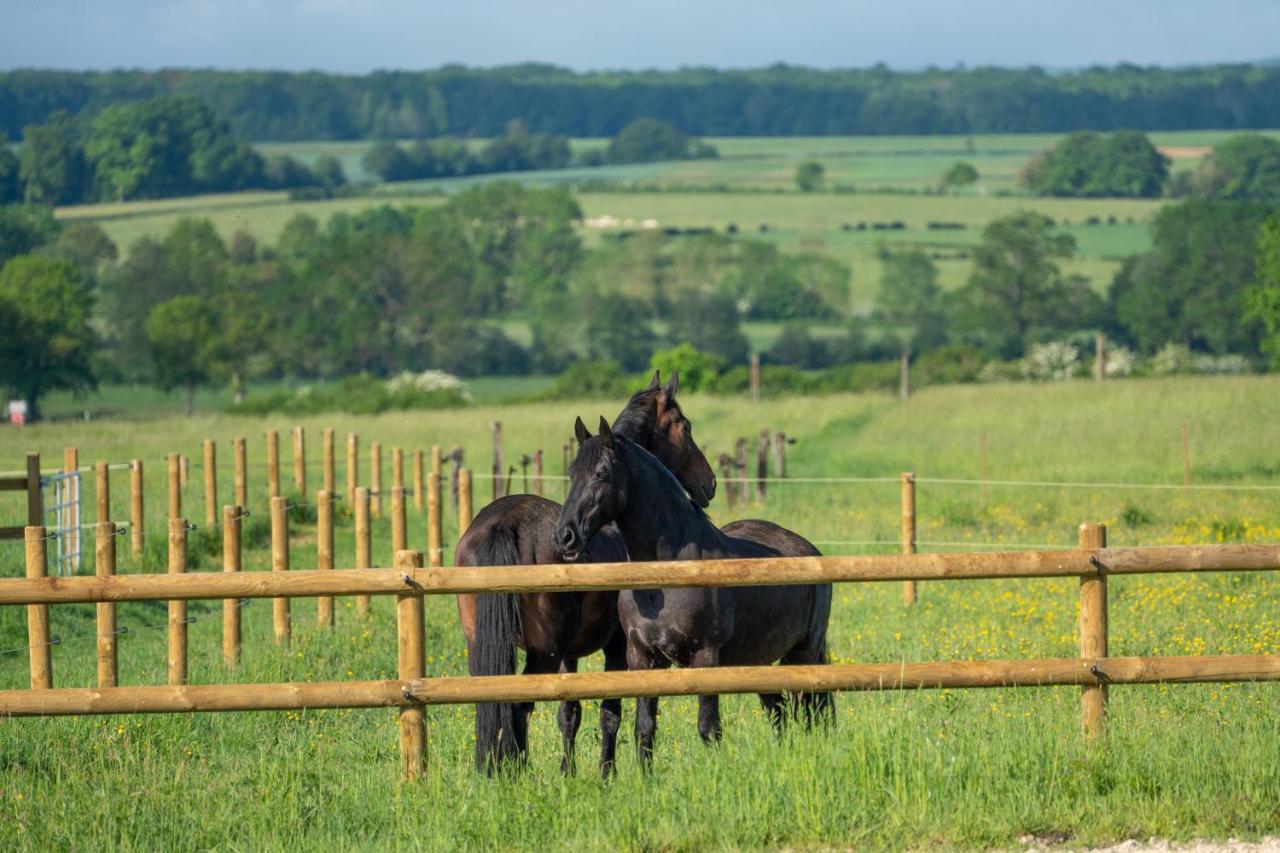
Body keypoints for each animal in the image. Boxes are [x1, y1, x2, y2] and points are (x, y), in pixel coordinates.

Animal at [455, 368, 716, 773]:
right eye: (685, 426)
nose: (709, 483)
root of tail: (505, 522)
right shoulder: (618, 647)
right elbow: (610, 712)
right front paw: (606, 772)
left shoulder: (569, 654)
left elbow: (569, 712)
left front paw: (569, 772)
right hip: (540, 653)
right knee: (518, 708)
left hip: (480, 645)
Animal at [555, 414, 834, 768]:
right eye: (572, 472)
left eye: (602, 473)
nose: (565, 536)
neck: (664, 578)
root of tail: (809, 549)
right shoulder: (642, 659)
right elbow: (644, 729)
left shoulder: (706, 656)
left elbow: (708, 728)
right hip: (761, 659)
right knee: (777, 708)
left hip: (804, 652)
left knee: (807, 710)